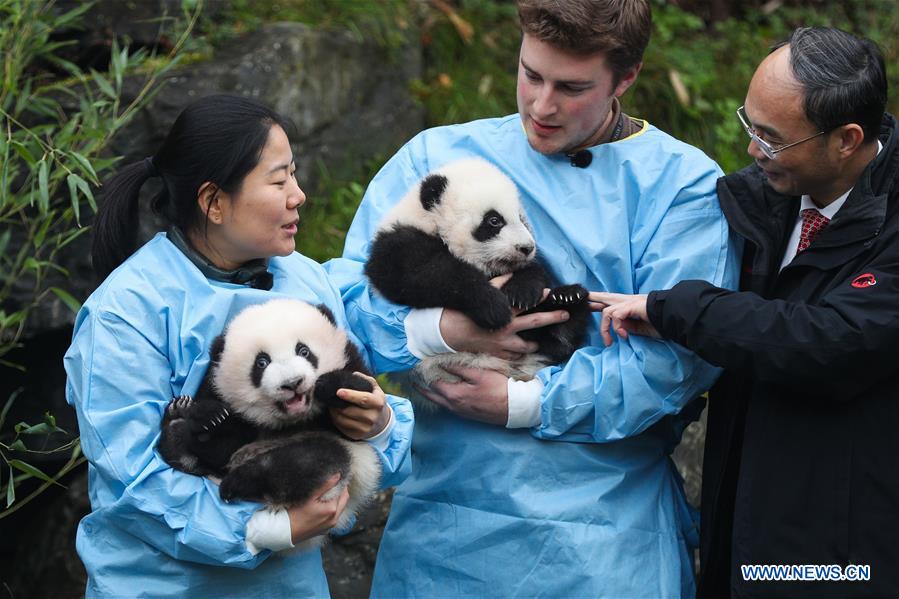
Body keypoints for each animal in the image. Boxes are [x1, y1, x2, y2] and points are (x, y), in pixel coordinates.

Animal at [157, 298, 381, 549]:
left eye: (304, 351)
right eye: (262, 363)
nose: (292, 383)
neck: (292, 420)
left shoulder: (350, 360)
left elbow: (359, 396)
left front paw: (330, 385)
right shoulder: (222, 394)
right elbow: (221, 442)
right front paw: (210, 418)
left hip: (347, 470)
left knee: (309, 461)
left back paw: (240, 480)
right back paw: (176, 422)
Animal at [364, 157, 591, 390]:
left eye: (521, 218)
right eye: (494, 220)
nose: (527, 248)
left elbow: (533, 271)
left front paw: (523, 291)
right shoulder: (397, 246)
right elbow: (425, 274)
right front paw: (493, 306)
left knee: (560, 337)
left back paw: (567, 298)